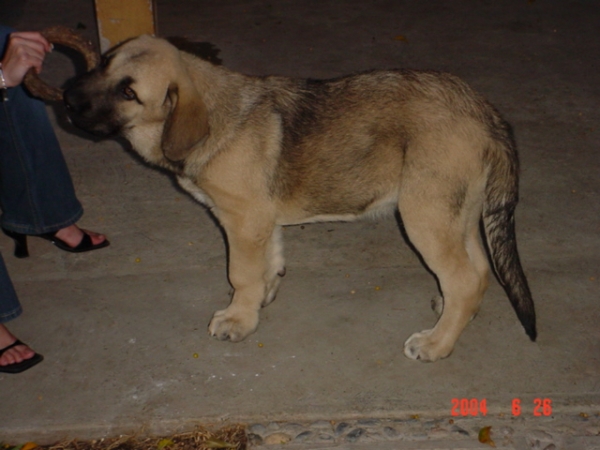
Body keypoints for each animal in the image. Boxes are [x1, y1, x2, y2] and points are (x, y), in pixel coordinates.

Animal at [64, 34, 536, 362]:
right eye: (103, 63)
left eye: (128, 92)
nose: (66, 98)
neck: (216, 113)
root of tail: (485, 111)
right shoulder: (261, 220)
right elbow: (268, 264)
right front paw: (260, 300)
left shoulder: (242, 220)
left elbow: (241, 274)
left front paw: (238, 319)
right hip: (457, 213)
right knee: (478, 272)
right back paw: (449, 313)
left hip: (425, 216)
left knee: (466, 278)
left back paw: (437, 343)